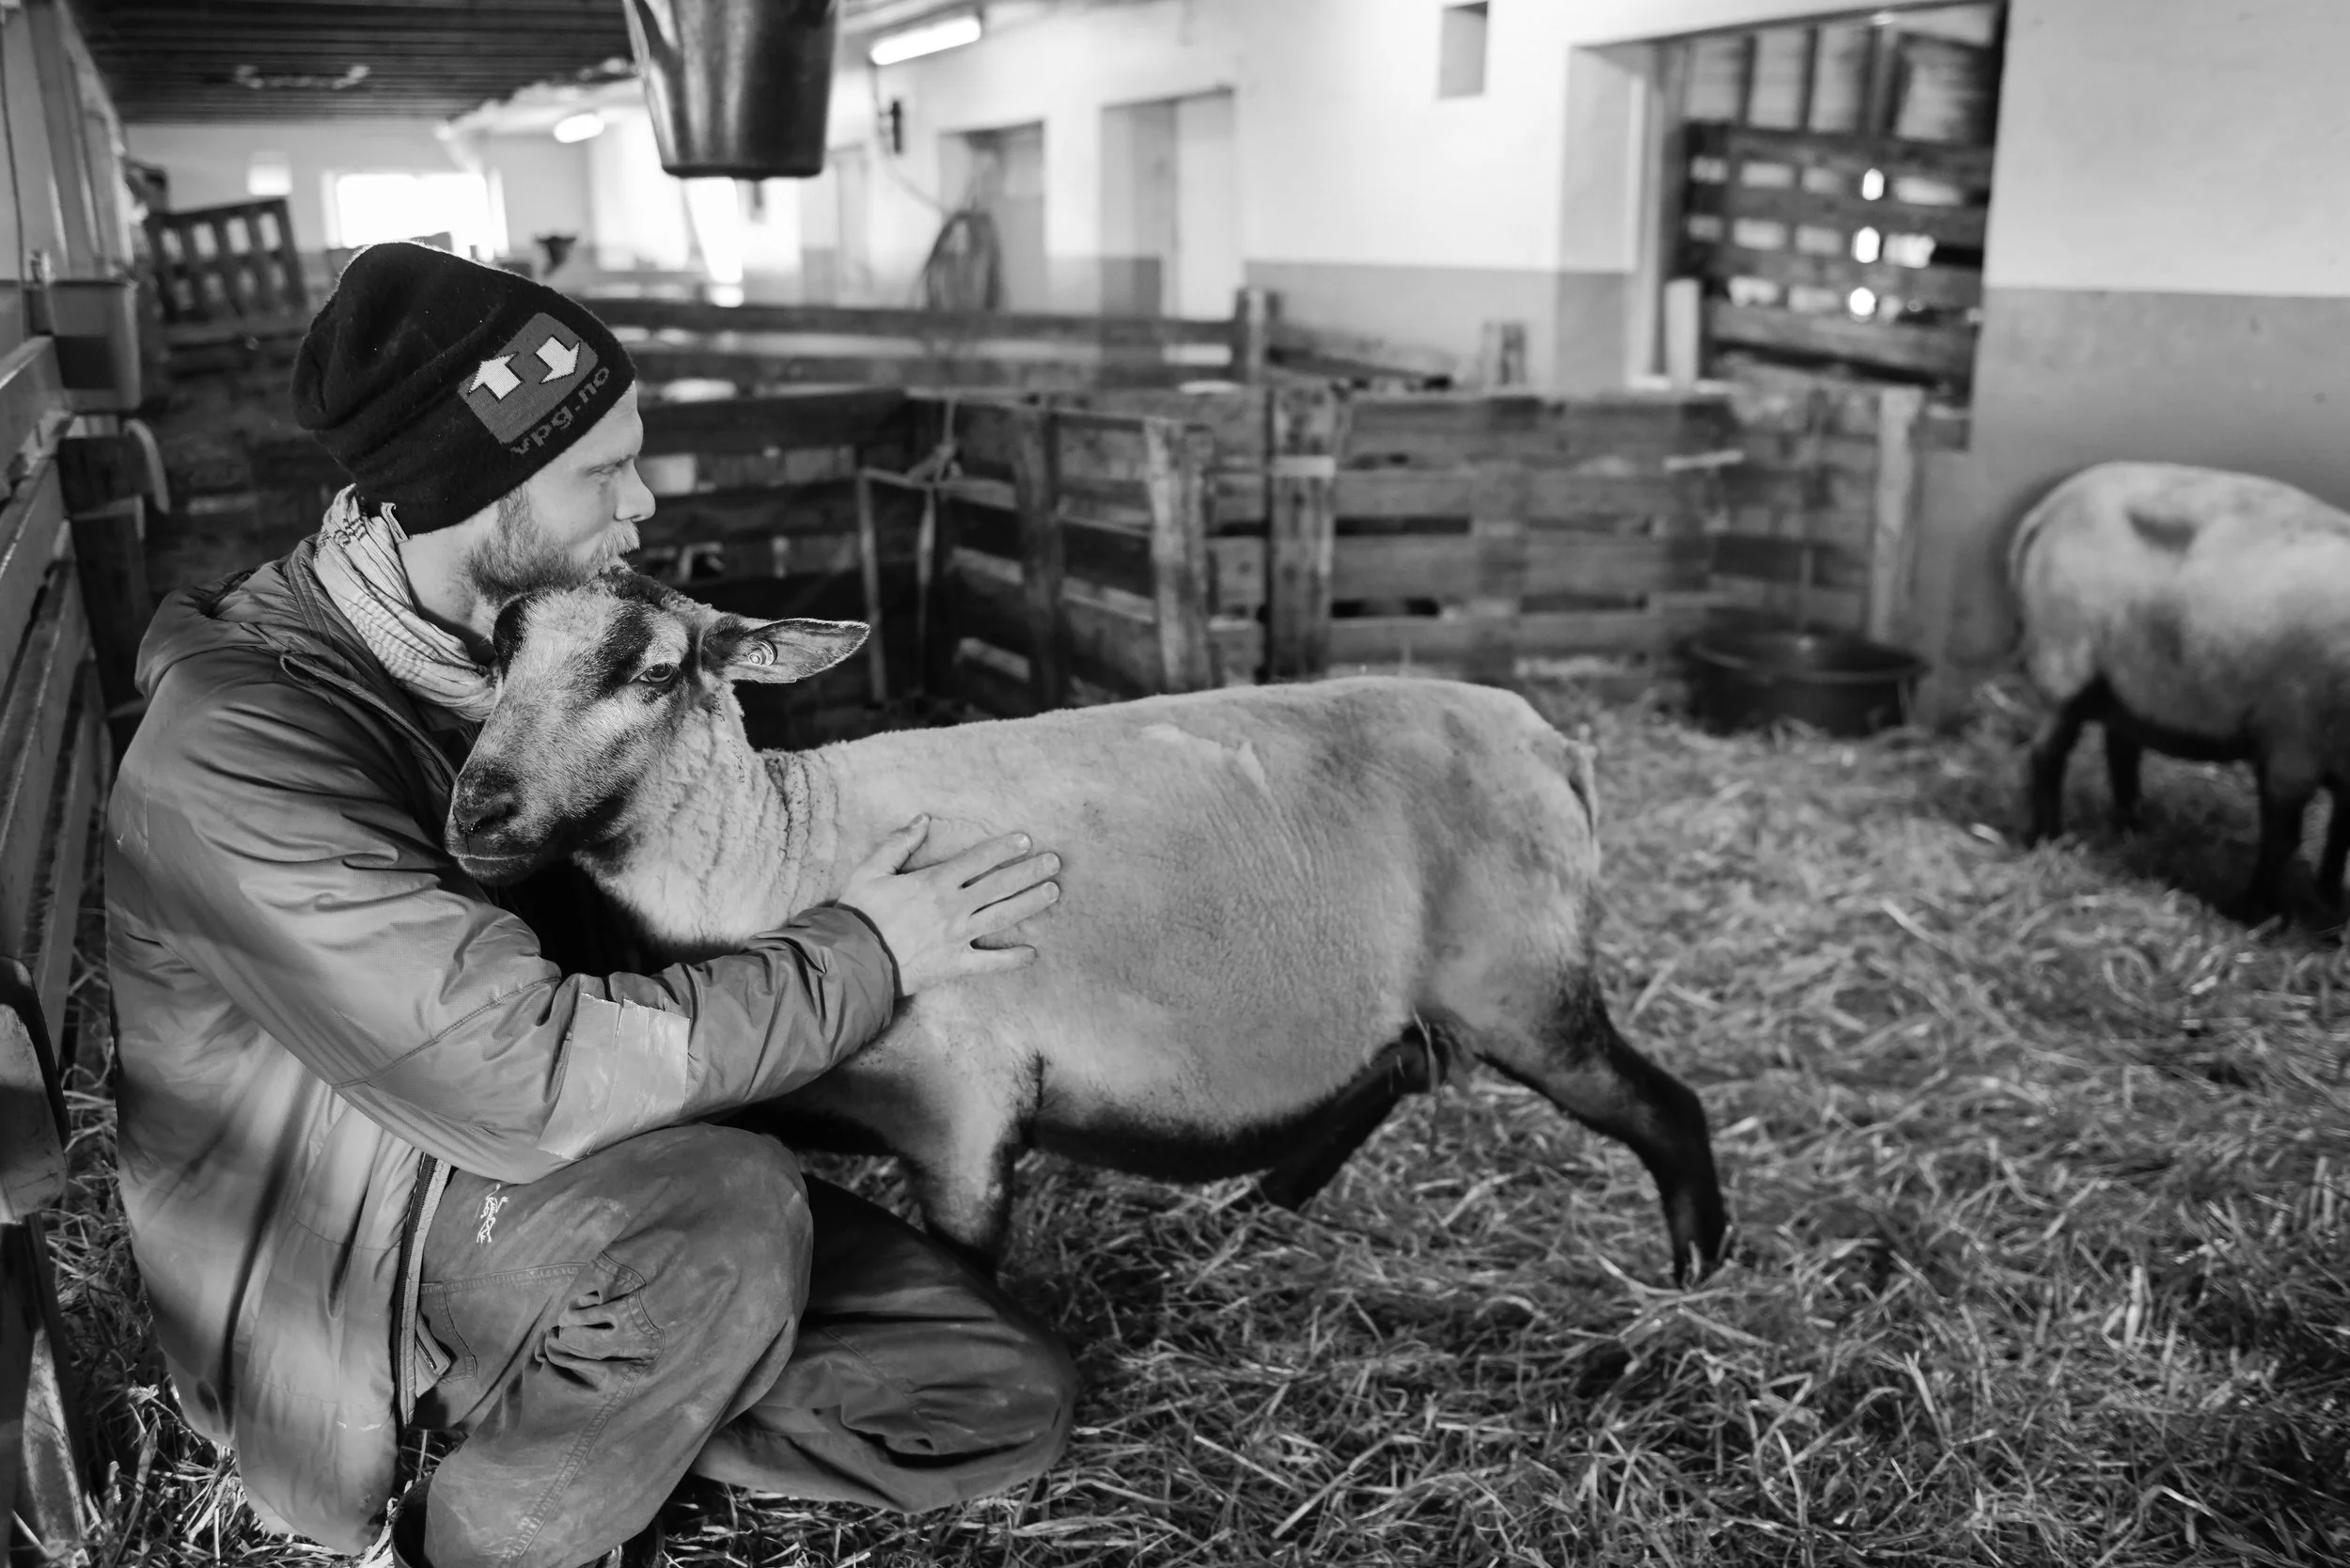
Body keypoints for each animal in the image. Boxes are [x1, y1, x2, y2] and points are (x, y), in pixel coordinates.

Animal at [444, 572, 1729, 1283]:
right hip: (1435, 993)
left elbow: (966, 1265)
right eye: (498, 657)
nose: (478, 809)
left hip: (1526, 981)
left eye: (654, 672)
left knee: (1663, 1107)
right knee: (1394, 1069)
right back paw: (1263, 1204)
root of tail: (1549, 738)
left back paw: (1694, 1271)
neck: (780, 850)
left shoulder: (961, 1112)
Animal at [2009, 459, 2350, 915]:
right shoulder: (2294, 746)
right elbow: (2282, 837)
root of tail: (2050, 507)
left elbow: (2342, 831)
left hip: (2126, 677)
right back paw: (2048, 837)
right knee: (2046, 755)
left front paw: (2329, 895)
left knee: (2121, 747)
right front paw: (2250, 911)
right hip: (2064, 661)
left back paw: (2132, 824)